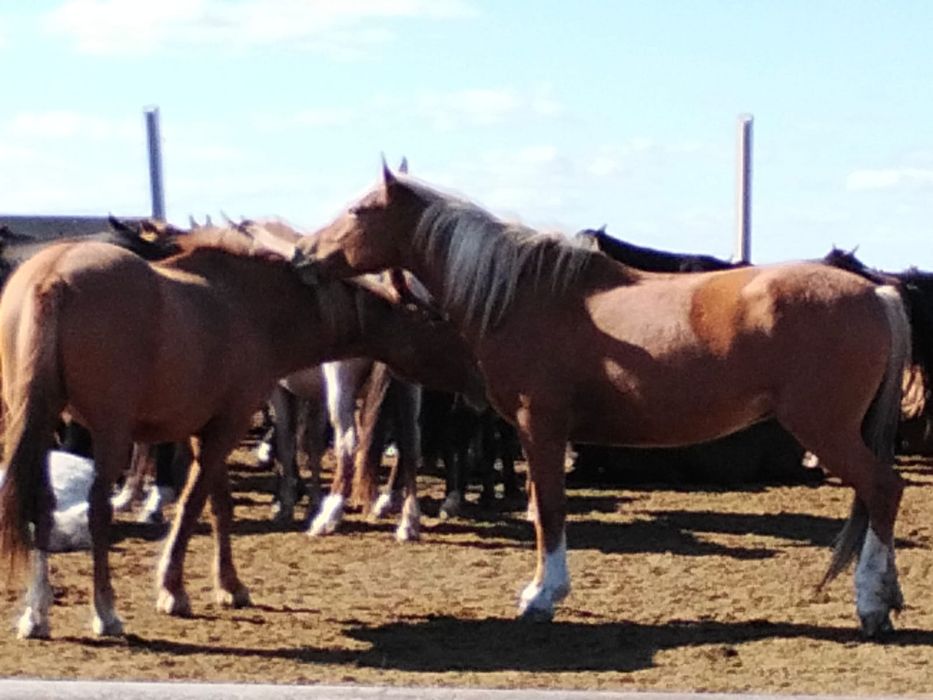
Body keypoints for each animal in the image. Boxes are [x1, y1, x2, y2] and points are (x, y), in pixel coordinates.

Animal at [0, 221, 483, 640]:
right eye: (439, 321)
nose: (481, 377)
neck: (248, 305)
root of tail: (52, 279)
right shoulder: (225, 426)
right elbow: (193, 505)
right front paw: (173, 590)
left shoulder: (209, 428)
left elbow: (219, 506)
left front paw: (229, 585)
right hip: (109, 433)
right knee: (97, 509)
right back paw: (105, 611)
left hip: (39, 421)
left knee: (41, 505)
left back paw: (36, 613)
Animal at [292, 162, 912, 637]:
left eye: (359, 211)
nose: (301, 254)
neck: (523, 295)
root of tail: (877, 293)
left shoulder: (539, 428)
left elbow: (549, 510)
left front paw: (542, 595)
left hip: (825, 428)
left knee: (883, 488)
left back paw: (870, 605)